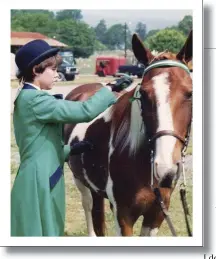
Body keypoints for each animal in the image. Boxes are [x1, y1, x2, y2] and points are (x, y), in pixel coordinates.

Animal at [64, 31, 192, 238]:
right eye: (144, 94)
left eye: (190, 93)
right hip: (79, 180)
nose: (165, 170)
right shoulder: (123, 216)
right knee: (88, 206)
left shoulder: (156, 215)